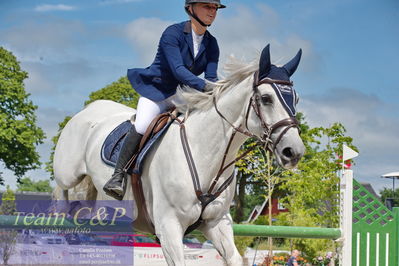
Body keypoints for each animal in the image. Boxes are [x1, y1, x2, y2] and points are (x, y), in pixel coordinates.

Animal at [52, 44, 304, 264]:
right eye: (266, 99)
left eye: (296, 99)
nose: (294, 152)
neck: (207, 155)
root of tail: (89, 109)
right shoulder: (169, 227)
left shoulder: (216, 223)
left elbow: (233, 258)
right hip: (68, 174)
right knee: (61, 191)